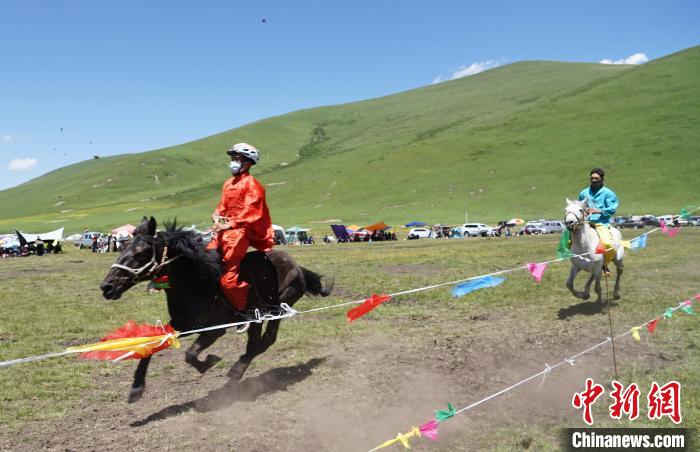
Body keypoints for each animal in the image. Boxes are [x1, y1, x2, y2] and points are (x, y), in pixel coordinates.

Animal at [100, 218, 332, 402]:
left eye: (141, 252)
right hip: (257, 317)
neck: (197, 284)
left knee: (264, 341)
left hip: (276, 310)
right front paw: (136, 389)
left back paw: (235, 372)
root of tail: (296, 266)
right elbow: (151, 345)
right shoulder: (181, 325)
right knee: (256, 342)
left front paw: (210, 362)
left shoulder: (215, 329)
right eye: (122, 248)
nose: (107, 287)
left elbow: (191, 354)